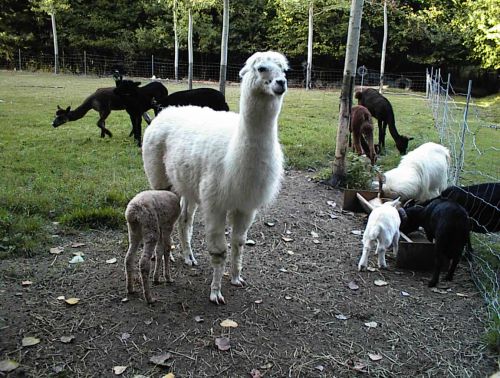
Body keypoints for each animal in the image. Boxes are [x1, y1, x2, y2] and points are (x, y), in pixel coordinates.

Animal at [141, 51, 290, 304]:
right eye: (261, 68)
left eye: (284, 69)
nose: (281, 83)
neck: (235, 155)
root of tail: (165, 111)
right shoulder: (215, 204)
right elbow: (219, 251)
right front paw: (216, 292)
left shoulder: (246, 205)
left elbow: (239, 243)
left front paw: (237, 278)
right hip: (159, 176)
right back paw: (167, 256)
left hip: (188, 184)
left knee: (184, 219)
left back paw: (189, 257)